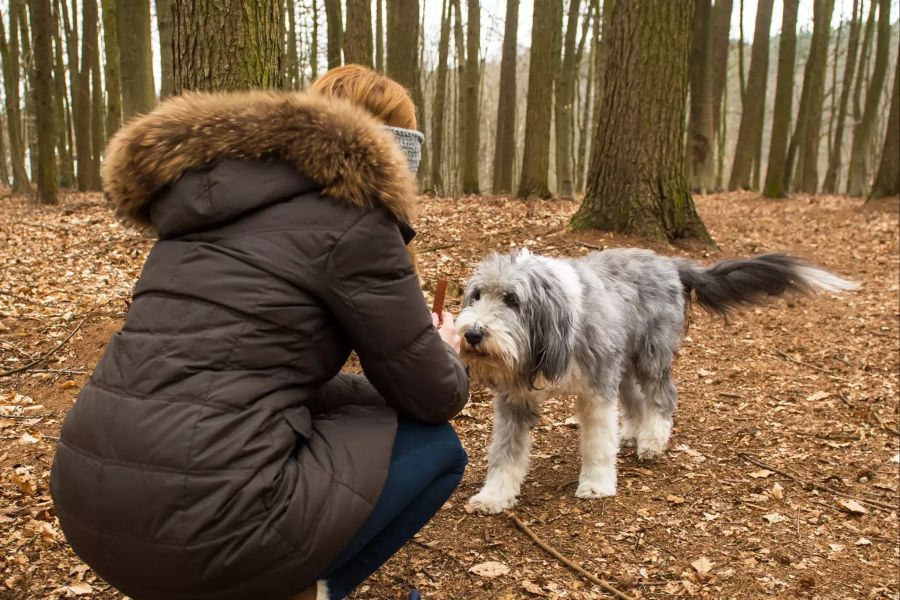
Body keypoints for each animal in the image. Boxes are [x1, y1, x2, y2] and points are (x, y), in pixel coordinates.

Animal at [458, 248, 856, 516]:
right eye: (476, 295)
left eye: (512, 300)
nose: (473, 334)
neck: (555, 323)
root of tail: (668, 261)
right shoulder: (515, 399)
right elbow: (505, 453)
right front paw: (494, 496)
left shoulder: (597, 389)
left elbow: (597, 442)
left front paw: (597, 484)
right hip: (625, 359)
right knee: (635, 399)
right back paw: (633, 432)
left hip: (650, 355)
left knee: (662, 396)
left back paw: (652, 440)